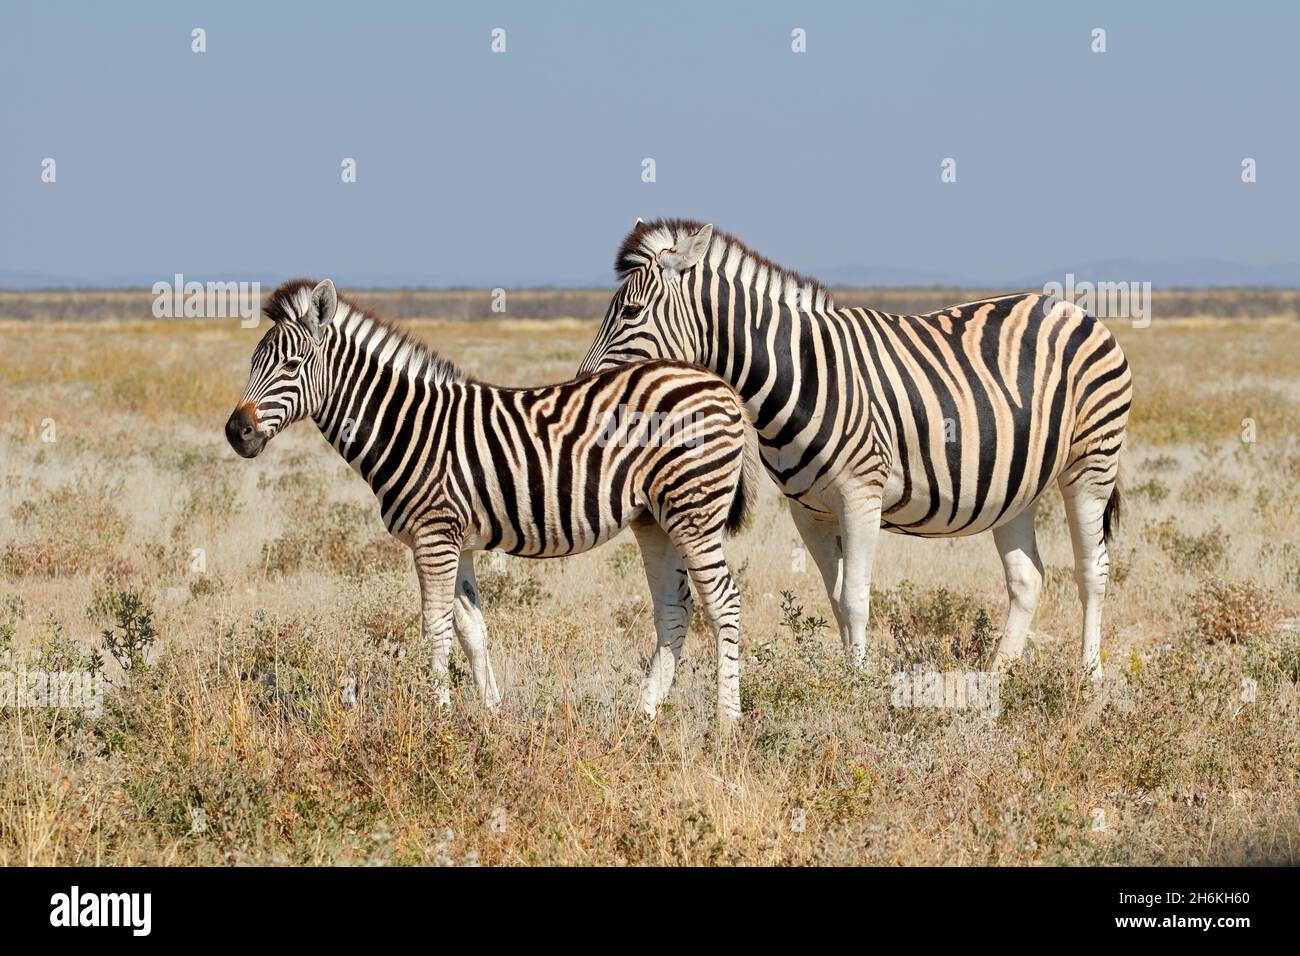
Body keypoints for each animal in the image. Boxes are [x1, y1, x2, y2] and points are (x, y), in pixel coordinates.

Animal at [225, 278, 760, 724]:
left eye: (291, 365)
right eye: (251, 363)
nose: (236, 432)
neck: (408, 427)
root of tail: (720, 385)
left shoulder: (434, 536)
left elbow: (436, 629)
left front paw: (437, 718)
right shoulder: (454, 542)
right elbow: (472, 631)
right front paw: (491, 715)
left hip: (694, 509)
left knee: (723, 602)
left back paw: (726, 723)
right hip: (655, 516)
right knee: (674, 608)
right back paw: (643, 716)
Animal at [575, 219, 1132, 680]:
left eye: (630, 311)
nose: (585, 388)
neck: (798, 373)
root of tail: (1072, 307)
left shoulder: (861, 495)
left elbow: (858, 596)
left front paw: (860, 690)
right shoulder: (809, 511)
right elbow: (837, 598)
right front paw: (847, 682)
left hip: (1091, 462)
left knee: (1093, 571)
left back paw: (1089, 679)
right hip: (1016, 486)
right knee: (1027, 579)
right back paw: (999, 677)